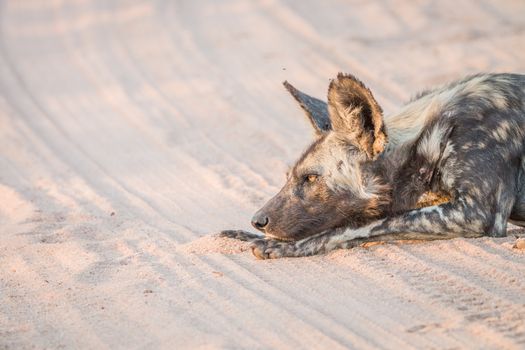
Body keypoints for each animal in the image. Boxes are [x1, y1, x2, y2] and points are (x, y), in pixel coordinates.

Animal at [220, 73, 524, 260]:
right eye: (288, 176)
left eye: (310, 178)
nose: (257, 220)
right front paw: (244, 235)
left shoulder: (477, 212)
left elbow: (359, 226)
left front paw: (285, 246)